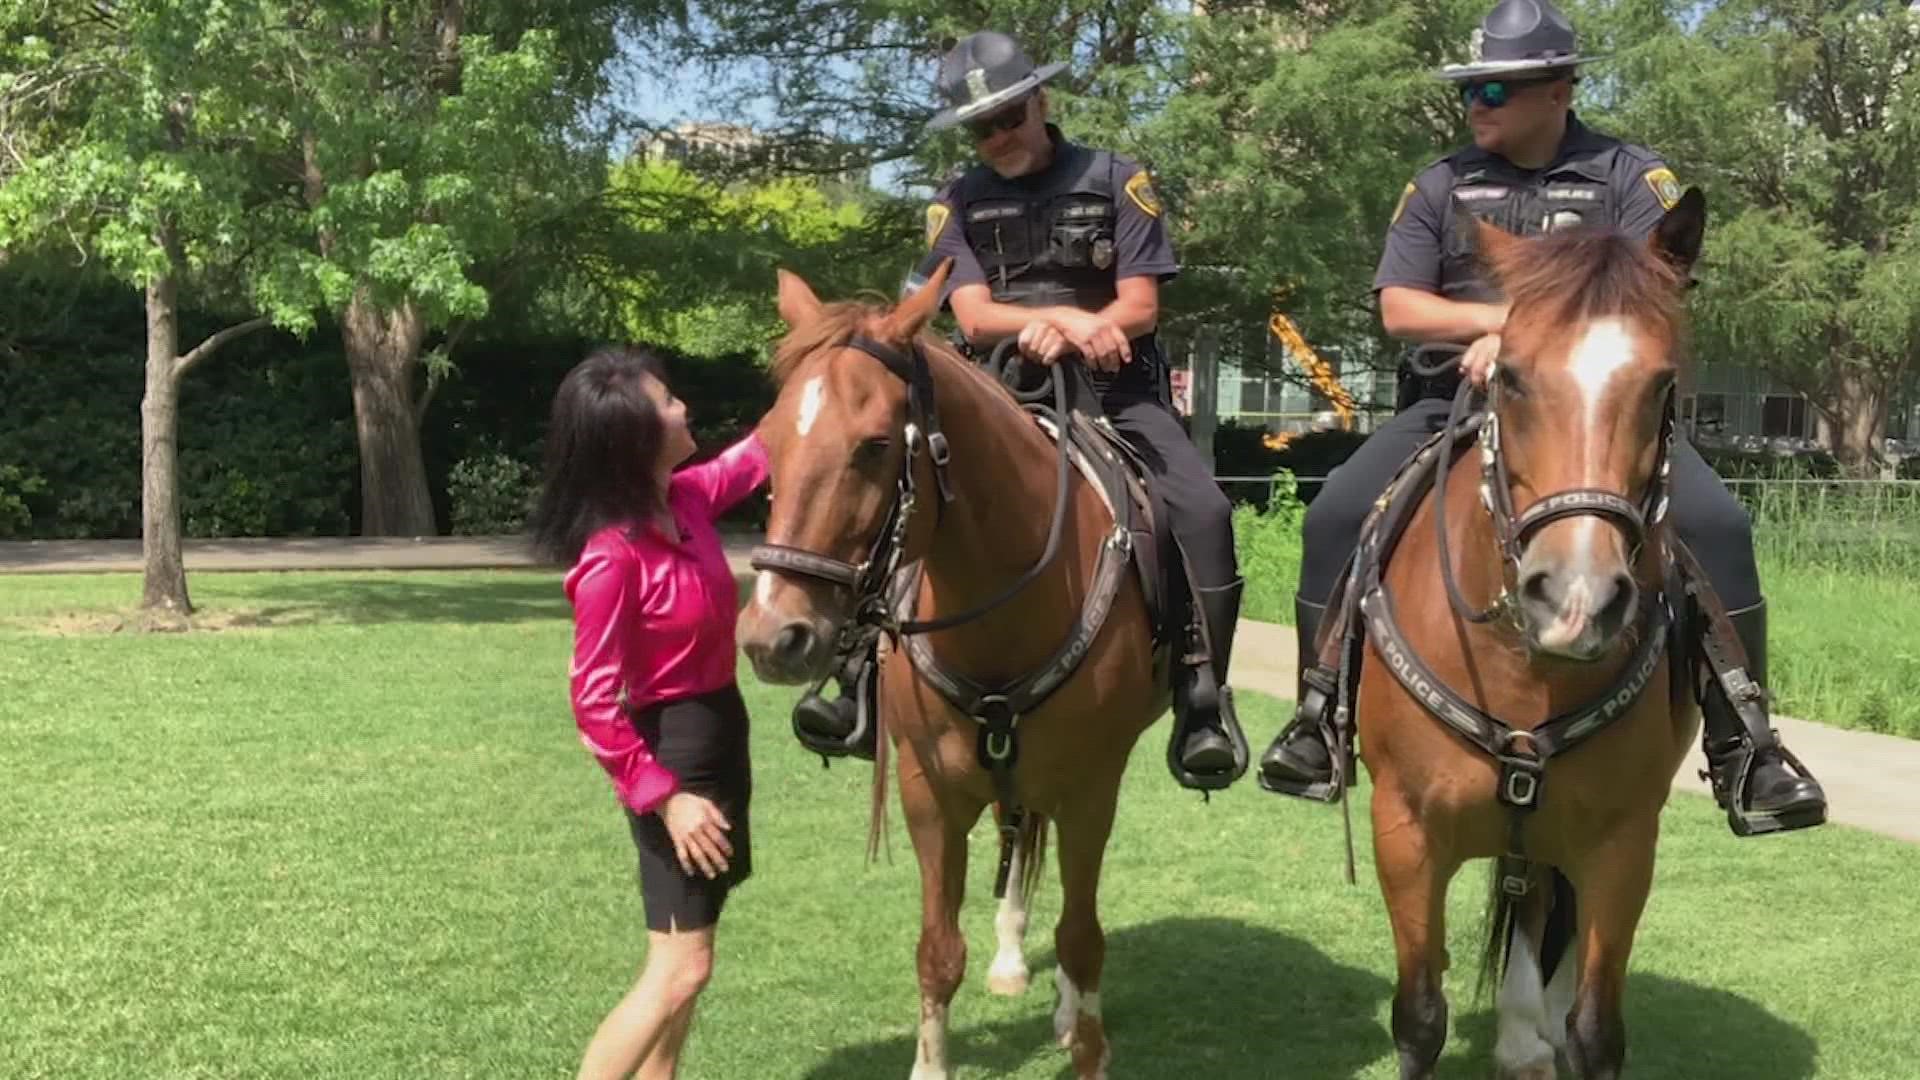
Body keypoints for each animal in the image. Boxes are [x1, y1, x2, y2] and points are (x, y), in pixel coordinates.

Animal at [737, 263, 1159, 1076]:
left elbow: (1082, 937)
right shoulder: (927, 789)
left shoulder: (1092, 788)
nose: (774, 635)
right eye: (768, 440)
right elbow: (937, 951)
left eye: (874, 446)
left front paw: (1088, 1043)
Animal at [1336, 189, 1712, 1068]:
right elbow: (1419, 1016)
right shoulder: (1404, 835)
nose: (1576, 598)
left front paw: (1550, 1029)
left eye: (1662, 386)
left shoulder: (1622, 846)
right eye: (1508, 375)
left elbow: (1596, 1032)